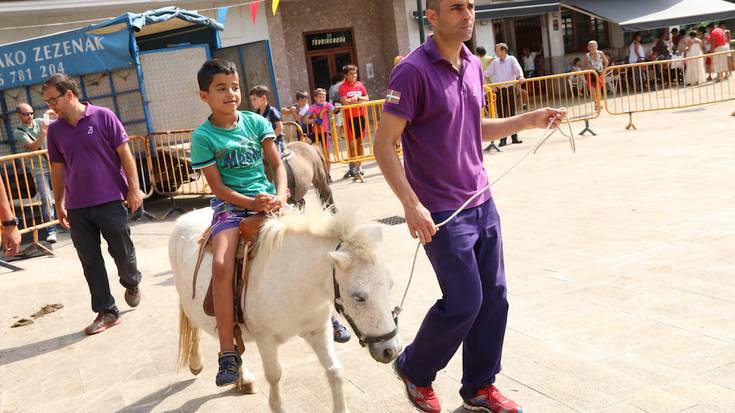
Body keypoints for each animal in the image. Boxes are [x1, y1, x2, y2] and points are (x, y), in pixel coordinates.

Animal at [171, 208, 402, 410]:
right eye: (359, 297)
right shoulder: (266, 340)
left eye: (390, 285)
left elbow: (335, 371)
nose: (392, 350)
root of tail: (185, 216)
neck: (294, 279)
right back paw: (198, 363)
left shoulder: (318, 331)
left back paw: (243, 379)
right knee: (199, 326)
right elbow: (274, 376)